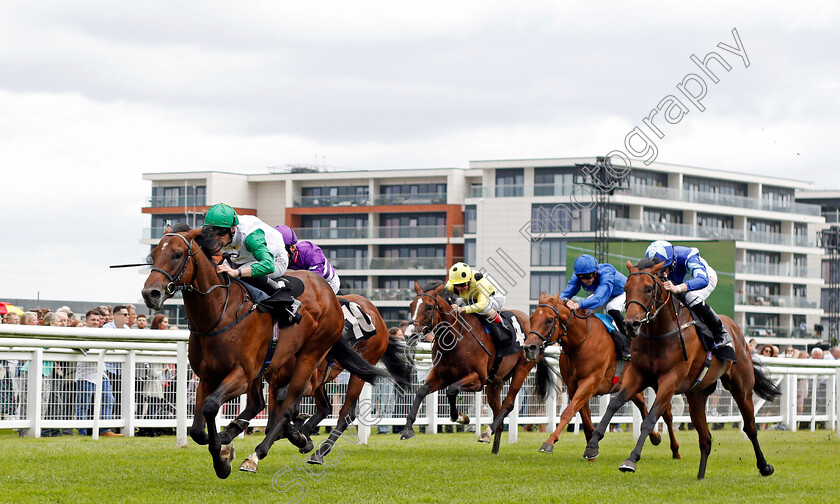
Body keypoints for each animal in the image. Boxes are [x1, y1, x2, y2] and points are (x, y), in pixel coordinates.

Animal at [142, 230, 384, 478]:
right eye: (154, 253)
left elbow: (213, 406)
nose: (150, 293)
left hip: (315, 359)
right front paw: (224, 449)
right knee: (291, 405)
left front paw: (223, 460)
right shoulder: (210, 377)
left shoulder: (243, 374)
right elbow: (199, 430)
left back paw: (268, 453)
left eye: (178, 254)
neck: (220, 313)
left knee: (327, 411)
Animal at [400, 280, 552, 452]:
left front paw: (461, 417)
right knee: (498, 415)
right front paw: (407, 429)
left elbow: (452, 390)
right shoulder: (440, 376)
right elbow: (421, 391)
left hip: (522, 368)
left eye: (429, 307)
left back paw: (485, 433)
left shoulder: (478, 379)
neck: (456, 338)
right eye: (411, 305)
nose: (409, 334)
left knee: (508, 404)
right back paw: (494, 449)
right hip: (495, 382)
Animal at [524, 292, 684, 460]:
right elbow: (585, 419)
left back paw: (675, 450)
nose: (529, 348)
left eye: (549, 319)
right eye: (532, 318)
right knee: (642, 403)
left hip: (659, 382)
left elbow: (568, 412)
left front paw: (549, 442)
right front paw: (592, 450)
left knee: (667, 415)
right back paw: (655, 436)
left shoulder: (589, 382)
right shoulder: (574, 387)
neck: (581, 341)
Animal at [580, 260, 776, 480]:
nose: (631, 324)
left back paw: (764, 466)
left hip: (742, 388)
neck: (659, 333)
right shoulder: (637, 376)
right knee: (705, 438)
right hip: (696, 395)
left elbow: (650, 419)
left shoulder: (670, 381)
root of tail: (737, 331)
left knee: (750, 428)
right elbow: (613, 405)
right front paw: (592, 446)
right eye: (626, 289)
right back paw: (700, 476)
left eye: (649, 289)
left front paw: (630, 460)